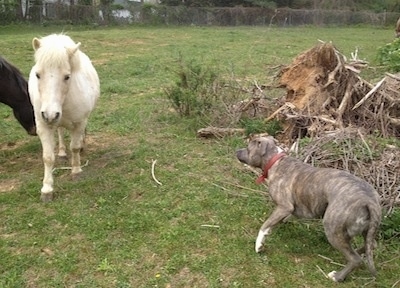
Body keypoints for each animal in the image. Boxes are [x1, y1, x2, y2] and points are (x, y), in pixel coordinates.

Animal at [28, 34, 100, 202]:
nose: (49, 114)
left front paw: (76, 171)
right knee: (60, 131)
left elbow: (75, 147)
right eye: (38, 75)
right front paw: (47, 189)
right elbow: (48, 157)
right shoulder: (43, 126)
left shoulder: (79, 123)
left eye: (67, 77)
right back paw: (61, 152)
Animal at [236, 137, 382, 282]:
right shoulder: (294, 209)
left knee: (354, 259)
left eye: (248, 148)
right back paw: (358, 251)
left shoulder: (284, 207)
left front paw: (259, 245)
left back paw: (337, 277)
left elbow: (265, 225)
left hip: (333, 229)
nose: (236, 151)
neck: (275, 161)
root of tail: (369, 201)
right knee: (371, 245)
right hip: (365, 229)